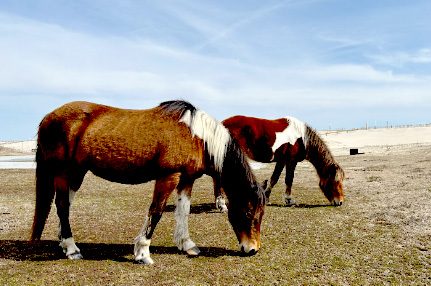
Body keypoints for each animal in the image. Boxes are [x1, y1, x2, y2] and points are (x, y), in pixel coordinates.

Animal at [30, 100, 266, 264]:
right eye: (248, 213)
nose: (252, 249)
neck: (196, 136)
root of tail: (48, 117)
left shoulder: (186, 179)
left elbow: (183, 211)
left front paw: (186, 244)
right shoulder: (169, 176)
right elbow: (156, 211)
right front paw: (143, 252)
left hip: (77, 172)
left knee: (66, 205)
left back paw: (63, 241)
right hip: (62, 172)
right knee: (62, 205)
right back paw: (72, 248)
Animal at [215, 114, 344, 212]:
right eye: (335, 181)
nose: (340, 202)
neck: (302, 138)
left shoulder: (281, 161)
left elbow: (274, 179)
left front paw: (266, 198)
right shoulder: (291, 161)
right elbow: (289, 180)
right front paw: (289, 200)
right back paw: (222, 205)